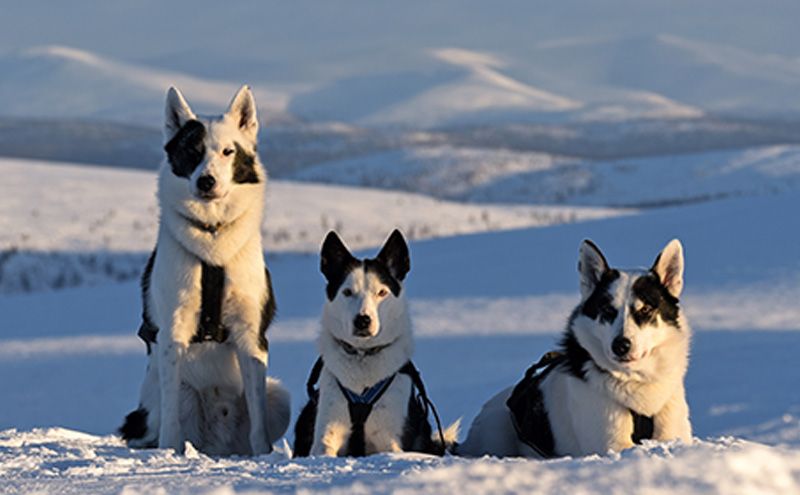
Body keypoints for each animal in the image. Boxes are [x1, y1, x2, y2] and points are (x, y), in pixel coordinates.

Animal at [119, 85, 290, 458]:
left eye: (228, 152)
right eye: (191, 151)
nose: (206, 181)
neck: (213, 235)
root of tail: (216, 444)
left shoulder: (250, 335)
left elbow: (258, 416)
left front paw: (264, 455)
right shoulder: (173, 333)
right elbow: (170, 420)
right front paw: (169, 454)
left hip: (279, 395)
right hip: (167, 402)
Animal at [294, 231, 460, 460]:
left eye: (382, 292)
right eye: (347, 292)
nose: (362, 320)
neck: (364, 355)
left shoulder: (390, 440)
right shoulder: (327, 433)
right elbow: (324, 448)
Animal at [460, 240, 692, 462]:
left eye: (646, 310)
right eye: (607, 310)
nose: (620, 345)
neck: (635, 381)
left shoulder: (672, 434)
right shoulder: (613, 445)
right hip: (497, 427)